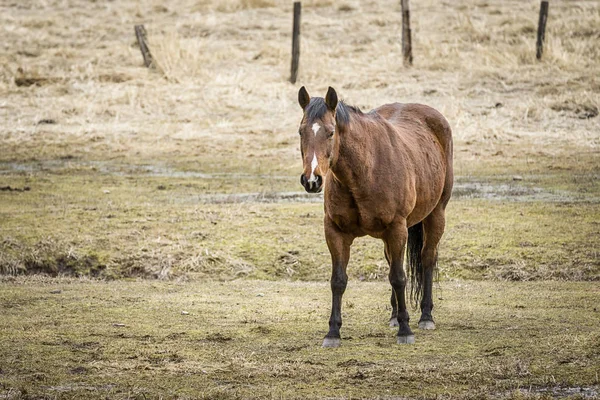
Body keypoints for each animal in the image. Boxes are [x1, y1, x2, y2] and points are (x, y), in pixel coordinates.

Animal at [296, 86, 454, 346]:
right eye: (301, 131)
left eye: (330, 132)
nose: (312, 180)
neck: (364, 171)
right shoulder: (335, 232)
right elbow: (338, 281)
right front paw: (333, 332)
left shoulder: (397, 228)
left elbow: (399, 277)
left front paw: (405, 331)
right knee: (393, 262)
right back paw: (394, 316)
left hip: (436, 214)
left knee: (427, 259)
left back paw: (425, 317)